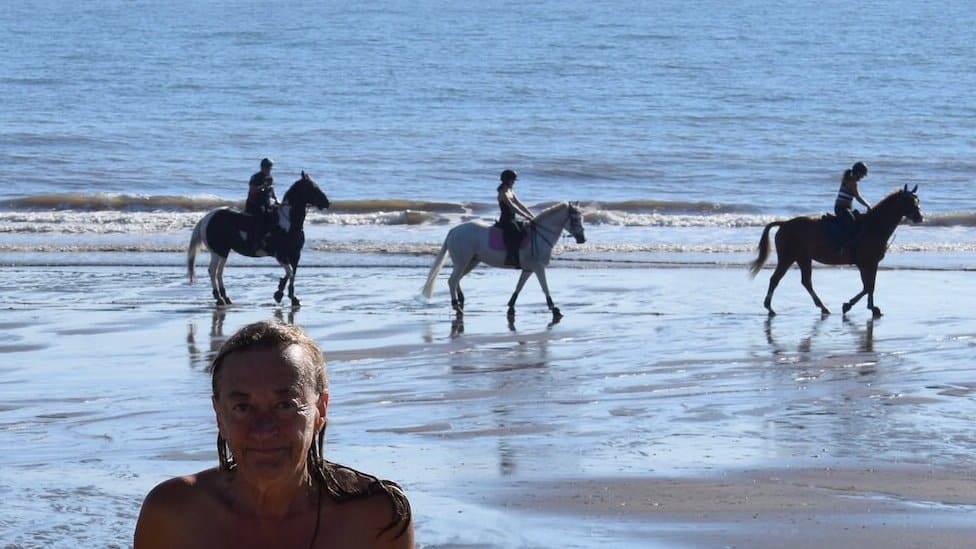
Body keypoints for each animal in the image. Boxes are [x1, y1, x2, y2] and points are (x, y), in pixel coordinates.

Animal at [187, 171, 331, 307]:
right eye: (312, 188)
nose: (327, 203)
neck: (289, 222)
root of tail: (207, 218)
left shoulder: (295, 255)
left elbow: (292, 274)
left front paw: (292, 297)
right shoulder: (281, 255)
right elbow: (289, 272)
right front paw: (279, 293)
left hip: (224, 252)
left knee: (219, 272)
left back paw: (226, 298)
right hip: (218, 251)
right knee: (213, 271)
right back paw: (219, 298)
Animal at [422, 201, 586, 318]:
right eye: (575, 219)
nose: (582, 239)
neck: (540, 235)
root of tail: (453, 231)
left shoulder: (528, 269)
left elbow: (519, 286)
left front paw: (511, 305)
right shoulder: (538, 267)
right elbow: (545, 287)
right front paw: (554, 309)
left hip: (471, 261)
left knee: (457, 280)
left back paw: (461, 300)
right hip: (463, 262)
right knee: (452, 280)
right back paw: (457, 306)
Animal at [749, 185, 922, 317]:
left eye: (917, 200)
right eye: (908, 201)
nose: (920, 218)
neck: (874, 226)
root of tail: (784, 224)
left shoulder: (870, 264)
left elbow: (870, 286)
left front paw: (871, 308)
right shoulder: (866, 263)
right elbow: (868, 287)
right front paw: (850, 305)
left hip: (803, 258)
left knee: (806, 282)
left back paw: (822, 307)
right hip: (787, 257)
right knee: (775, 280)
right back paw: (770, 308)